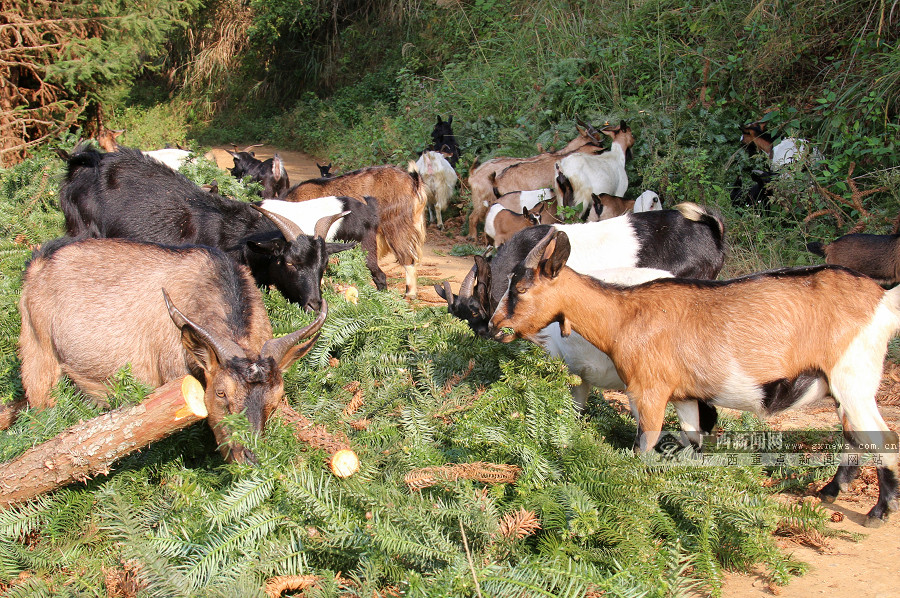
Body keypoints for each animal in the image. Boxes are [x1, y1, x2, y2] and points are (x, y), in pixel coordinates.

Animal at [492, 227, 900, 528]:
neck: (624, 315)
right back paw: (830, 491)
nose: (495, 327)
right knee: (855, 435)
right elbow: (694, 442)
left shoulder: (648, 392)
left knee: (884, 437)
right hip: (843, 387)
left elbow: (643, 447)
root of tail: (882, 301)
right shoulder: (684, 396)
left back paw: (878, 512)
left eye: (520, 289)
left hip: (853, 378)